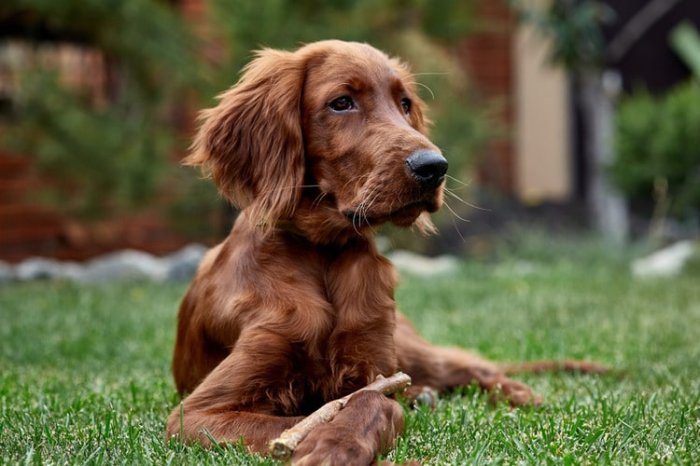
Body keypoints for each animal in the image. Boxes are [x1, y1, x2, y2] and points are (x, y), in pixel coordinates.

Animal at [167, 41, 604, 466]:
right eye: (342, 102)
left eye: (405, 103)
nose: (434, 167)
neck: (324, 254)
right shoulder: (197, 414)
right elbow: (310, 416)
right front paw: (326, 445)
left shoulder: (374, 368)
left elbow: (375, 402)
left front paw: (335, 446)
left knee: (468, 365)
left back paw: (517, 393)